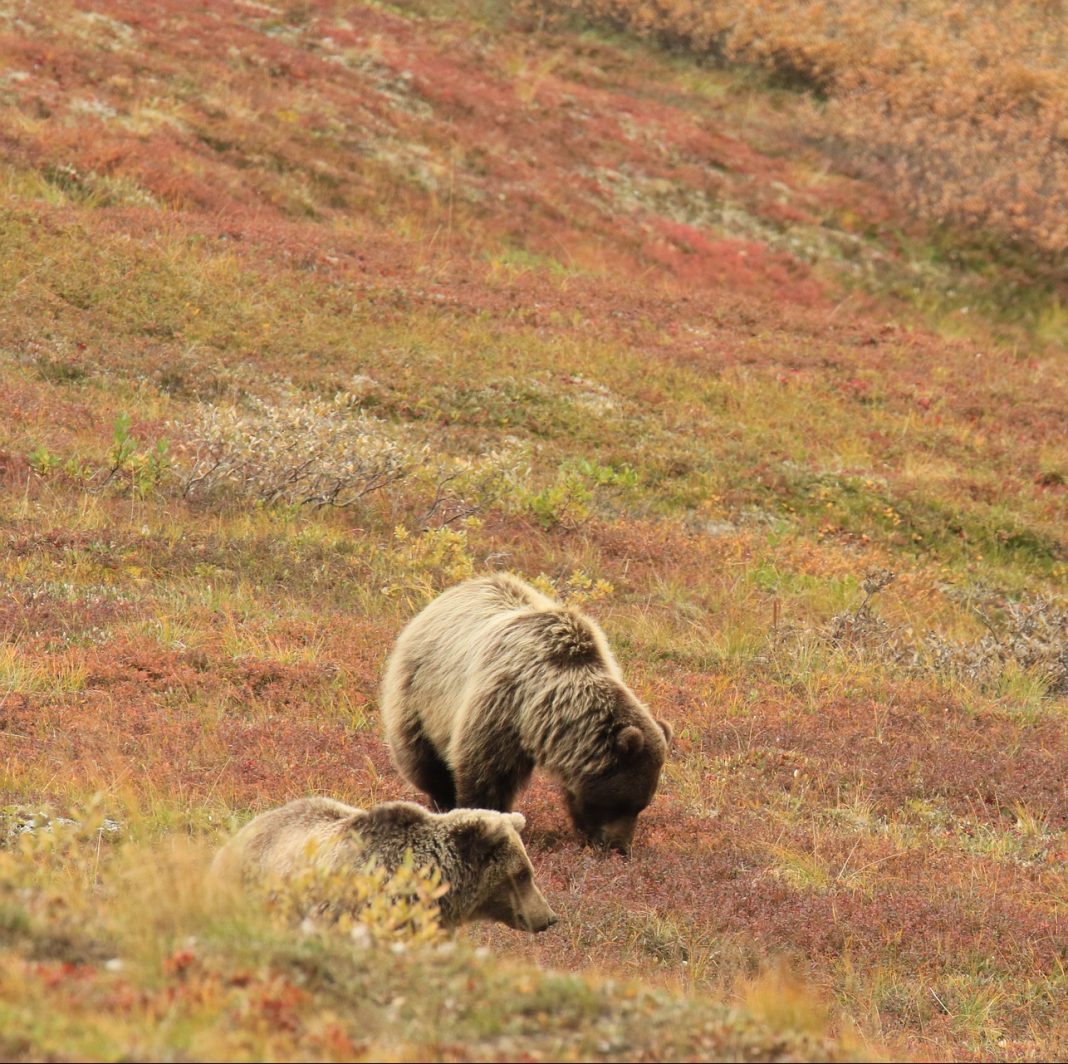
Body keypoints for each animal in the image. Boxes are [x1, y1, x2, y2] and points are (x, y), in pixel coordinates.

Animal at [380, 572, 670, 854]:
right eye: (624, 803)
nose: (620, 848)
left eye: (641, 805)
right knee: (423, 759)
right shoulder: (500, 706)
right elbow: (485, 775)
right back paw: (440, 802)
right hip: (418, 694)